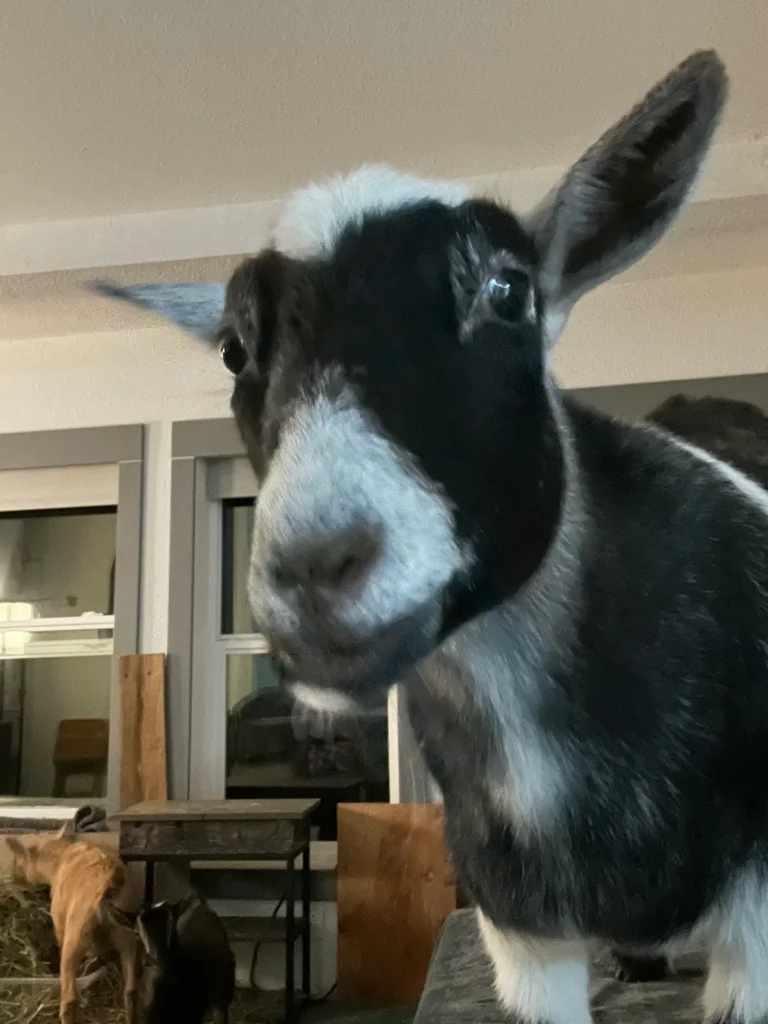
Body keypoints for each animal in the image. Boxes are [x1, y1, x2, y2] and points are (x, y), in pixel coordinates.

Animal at [7, 828, 140, 1024]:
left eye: (20, 859)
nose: (15, 877)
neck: (60, 855)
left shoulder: (60, 924)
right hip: (128, 939)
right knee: (131, 992)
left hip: (75, 940)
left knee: (69, 999)